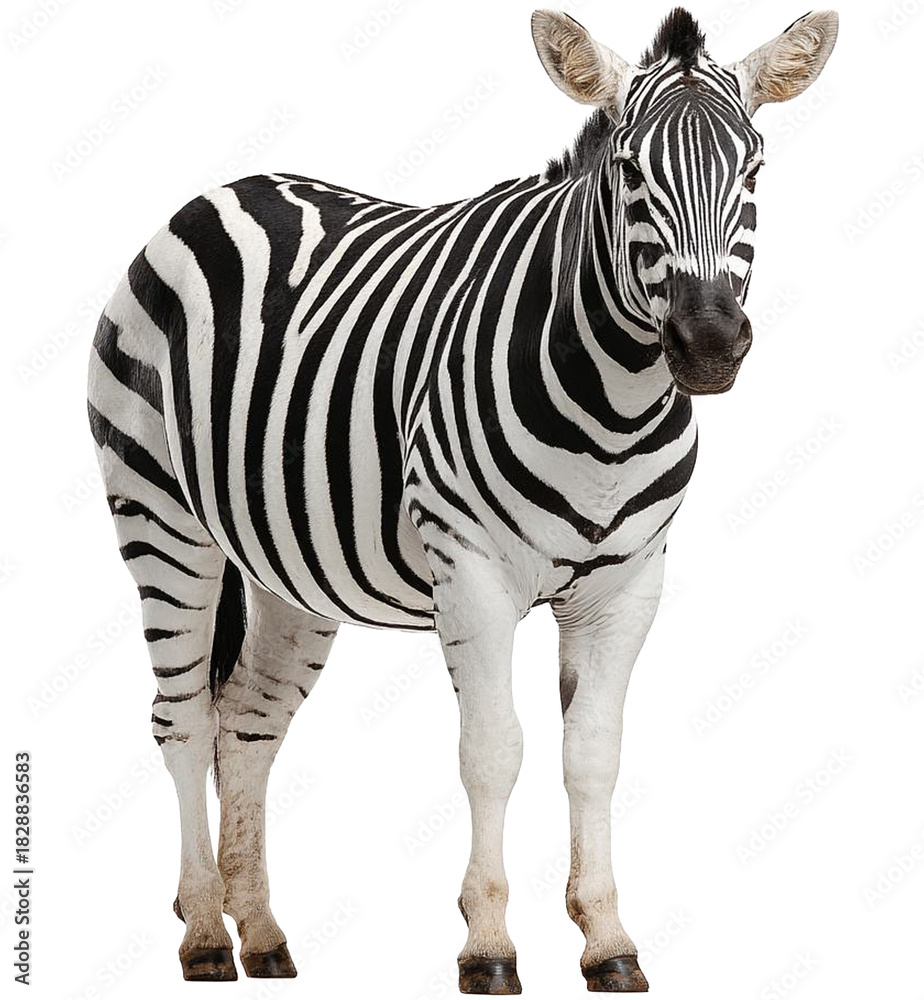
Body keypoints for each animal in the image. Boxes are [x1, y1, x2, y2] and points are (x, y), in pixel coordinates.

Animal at [87, 7, 838, 993]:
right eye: (629, 170)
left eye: (753, 170)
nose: (709, 345)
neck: (614, 406)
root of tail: (220, 193)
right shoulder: (473, 575)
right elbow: (492, 754)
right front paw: (488, 946)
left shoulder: (627, 586)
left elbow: (592, 755)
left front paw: (608, 939)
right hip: (160, 518)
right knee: (180, 719)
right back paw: (206, 933)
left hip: (287, 571)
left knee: (247, 722)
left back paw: (263, 933)